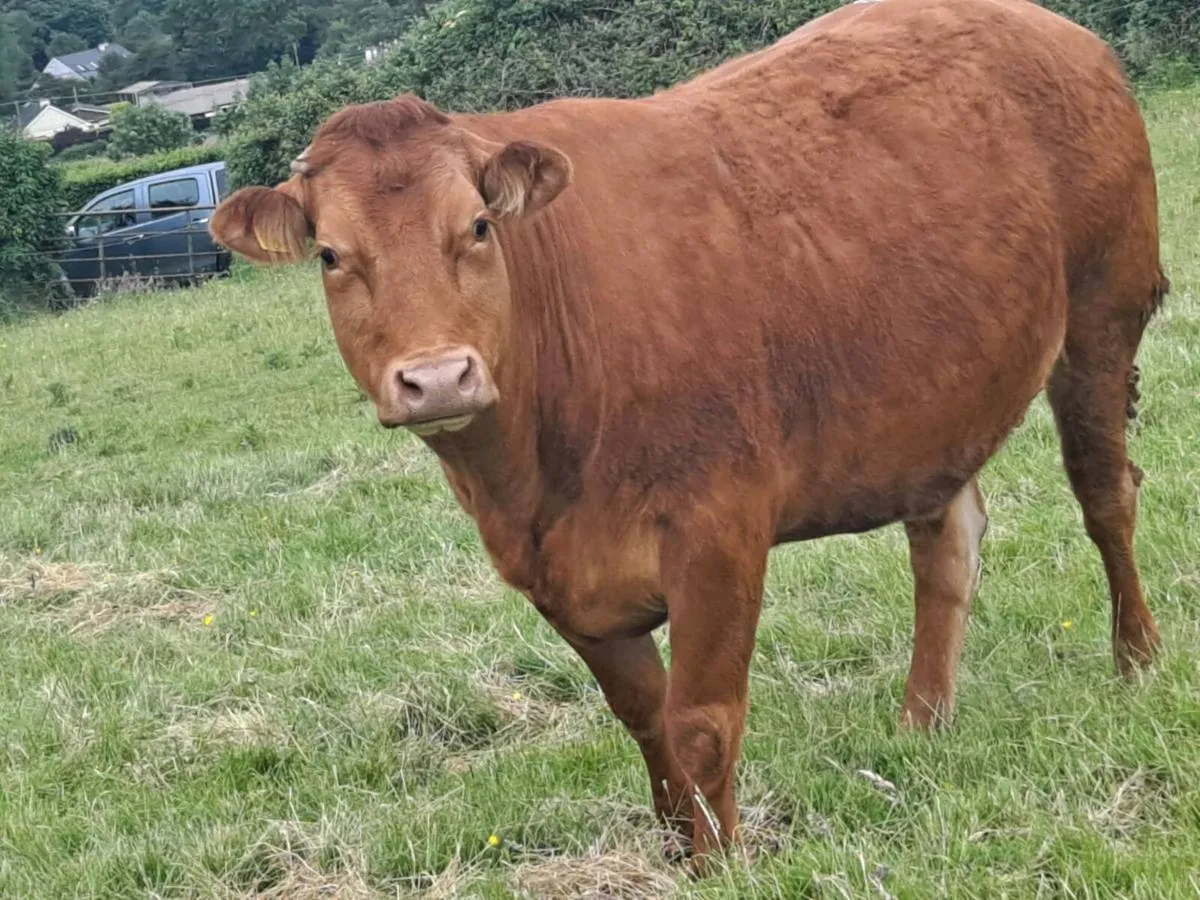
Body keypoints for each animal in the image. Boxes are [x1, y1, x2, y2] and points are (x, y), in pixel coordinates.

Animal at [211, 0, 1168, 861]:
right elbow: (646, 720)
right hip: (940, 396)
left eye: (477, 227)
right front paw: (679, 850)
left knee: (1106, 495)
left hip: (1101, 318)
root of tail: (1057, 30)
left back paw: (1137, 663)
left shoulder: (718, 532)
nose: (439, 376)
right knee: (946, 544)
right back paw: (920, 724)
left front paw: (725, 861)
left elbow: (702, 721)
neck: (531, 477)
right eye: (332, 255)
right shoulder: (557, 578)